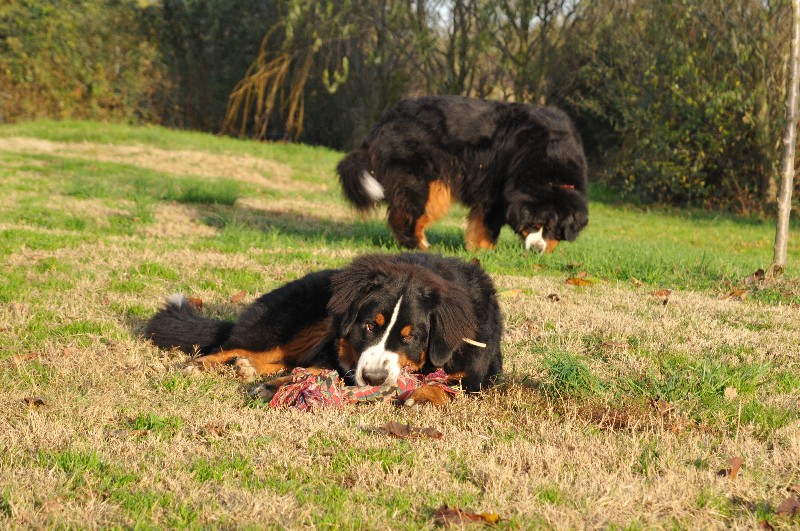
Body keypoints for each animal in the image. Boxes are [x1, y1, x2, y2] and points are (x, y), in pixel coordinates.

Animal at [145, 252, 500, 404]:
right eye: (369, 326)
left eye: (410, 337)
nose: (374, 378)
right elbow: (322, 372)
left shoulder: (478, 374)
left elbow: (451, 385)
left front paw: (424, 395)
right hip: (303, 318)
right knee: (236, 344)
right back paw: (201, 365)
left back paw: (247, 368)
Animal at [336, 94, 588, 255]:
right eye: (535, 224)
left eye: (553, 229)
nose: (536, 249)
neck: (550, 172)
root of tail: (385, 120)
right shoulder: (494, 190)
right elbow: (486, 223)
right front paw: (484, 249)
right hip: (413, 175)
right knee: (405, 213)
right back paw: (416, 245)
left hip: (436, 186)